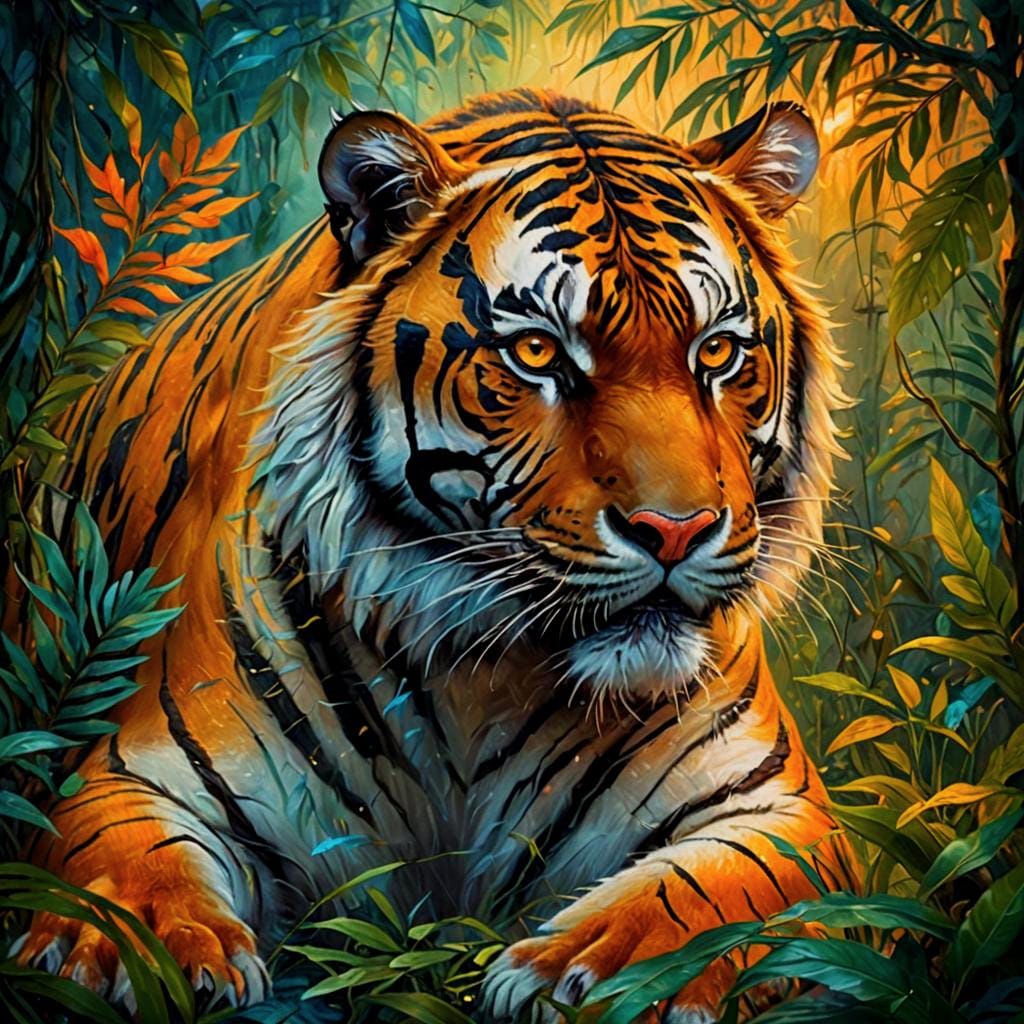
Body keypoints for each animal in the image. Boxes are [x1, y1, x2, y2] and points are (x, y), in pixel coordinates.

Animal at [14, 88, 856, 1021]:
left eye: (717, 352)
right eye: (536, 352)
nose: (674, 529)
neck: (481, 677)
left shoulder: (778, 808)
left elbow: (700, 897)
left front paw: (595, 974)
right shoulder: (131, 775)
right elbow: (122, 883)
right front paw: (148, 960)